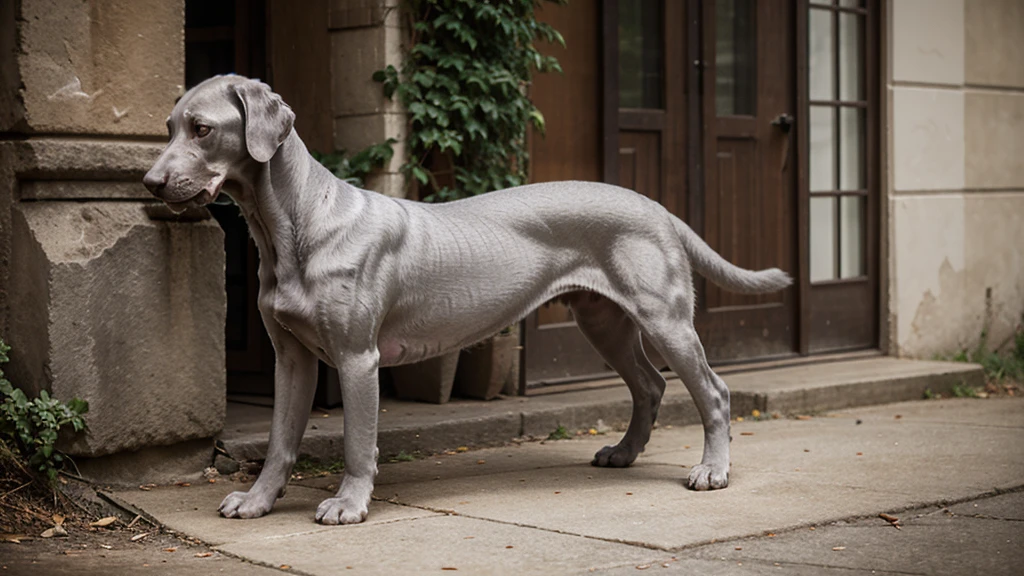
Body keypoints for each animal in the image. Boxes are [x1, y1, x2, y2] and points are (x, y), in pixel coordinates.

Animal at [140, 76, 786, 524]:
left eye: (202, 128)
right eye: (168, 126)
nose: (149, 183)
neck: (292, 228)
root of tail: (656, 205)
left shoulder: (357, 358)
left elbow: (357, 442)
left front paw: (348, 505)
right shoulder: (291, 358)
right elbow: (278, 442)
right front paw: (257, 501)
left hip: (663, 317)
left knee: (713, 391)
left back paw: (712, 470)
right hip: (604, 321)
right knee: (650, 385)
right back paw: (625, 454)